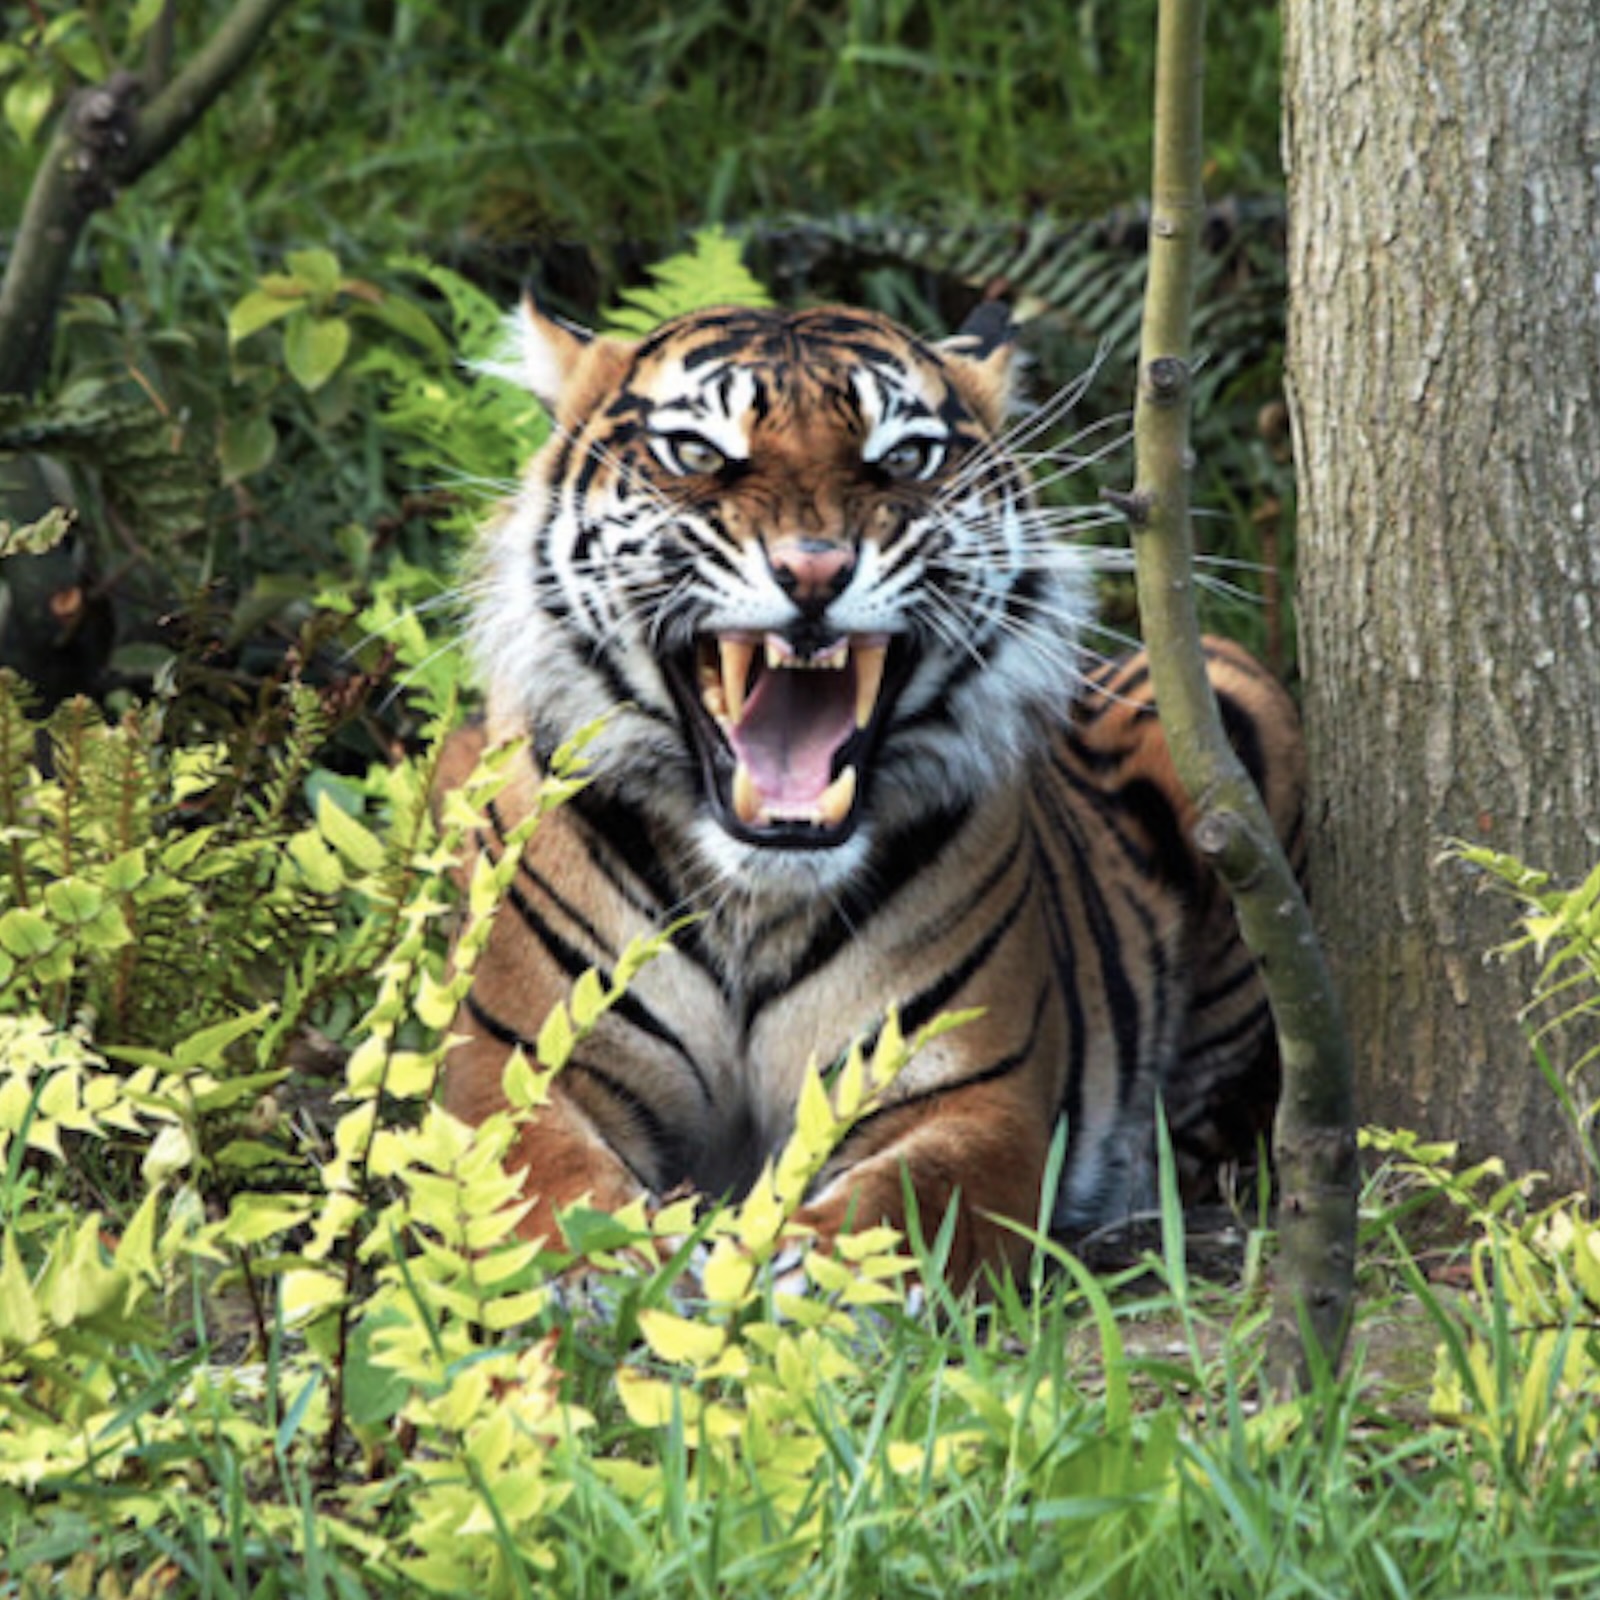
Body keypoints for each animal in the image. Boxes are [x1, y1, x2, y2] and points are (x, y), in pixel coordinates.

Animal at [438, 297, 1306, 1288]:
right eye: (696, 451)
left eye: (904, 458)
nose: (814, 570)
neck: (754, 902)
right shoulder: (513, 1065)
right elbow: (534, 1180)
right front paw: (607, 1267)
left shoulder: (969, 1095)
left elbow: (907, 1201)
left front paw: (798, 1276)